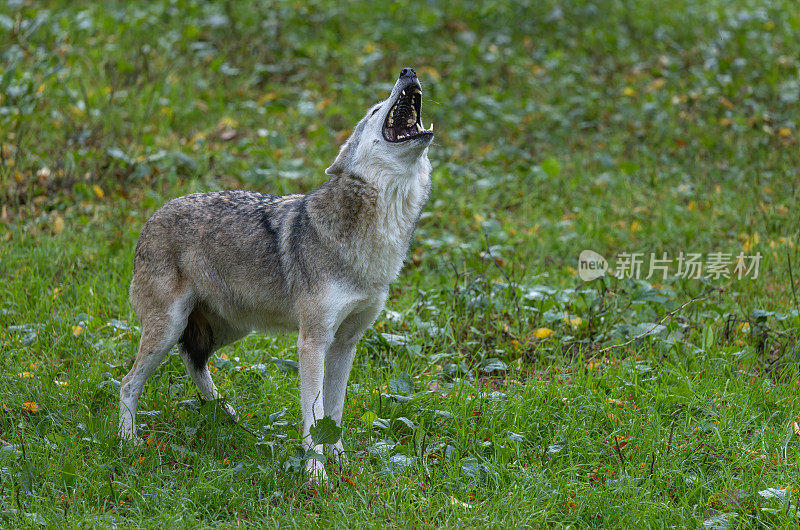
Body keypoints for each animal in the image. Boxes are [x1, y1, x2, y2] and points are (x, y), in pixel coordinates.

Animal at [116, 67, 434, 478]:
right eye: (375, 109)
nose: (408, 72)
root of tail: (153, 216)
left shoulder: (346, 343)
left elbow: (334, 413)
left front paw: (340, 462)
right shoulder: (312, 343)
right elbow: (314, 416)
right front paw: (316, 474)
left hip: (231, 328)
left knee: (192, 359)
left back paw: (227, 415)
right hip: (170, 328)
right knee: (128, 383)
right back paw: (128, 442)